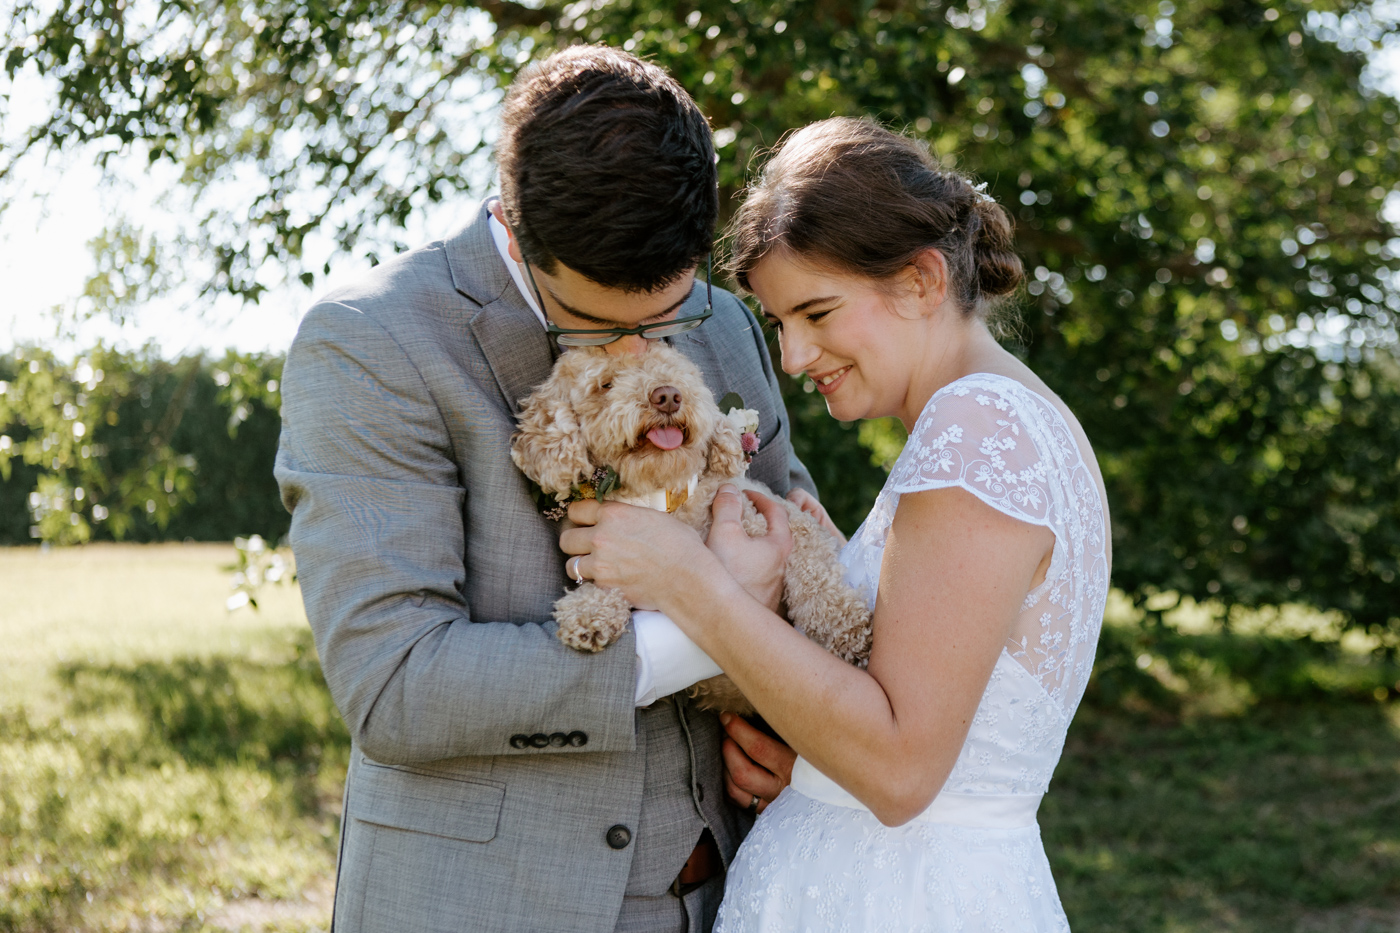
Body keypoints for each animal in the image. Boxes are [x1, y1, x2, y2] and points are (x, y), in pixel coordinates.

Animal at [509, 341, 868, 711]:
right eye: (605, 385)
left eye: (672, 372)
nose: (667, 396)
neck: (663, 496)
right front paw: (588, 610)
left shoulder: (790, 517)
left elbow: (813, 574)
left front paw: (844, 628)